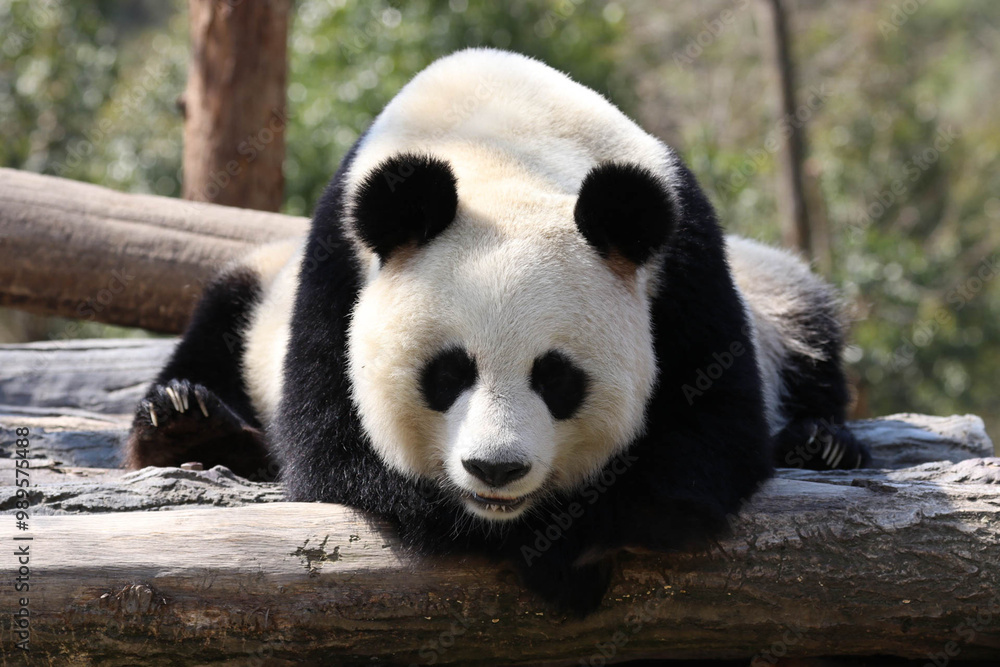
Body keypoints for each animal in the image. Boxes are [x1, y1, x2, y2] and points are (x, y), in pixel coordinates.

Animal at [126, 48, 869, 612]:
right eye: (447, 373)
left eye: (557, 378)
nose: (496, 468)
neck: (503, 153)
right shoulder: (336, 267)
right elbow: (337, 448)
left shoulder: (687, 259)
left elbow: (705, 443)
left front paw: (566, 555)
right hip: (260, 292)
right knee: (218, 324)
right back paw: (186, 420)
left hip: (771, 289)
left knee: (805, 327)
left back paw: (821, 441)